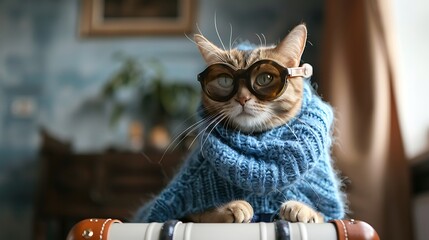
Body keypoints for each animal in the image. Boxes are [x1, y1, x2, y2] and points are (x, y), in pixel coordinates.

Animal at [134, 23, 344, 224]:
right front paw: (231, 208)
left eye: (265, 78)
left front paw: (302, 209)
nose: (242, 98)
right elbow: (202, 214)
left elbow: (322, 214)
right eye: (225, 80)